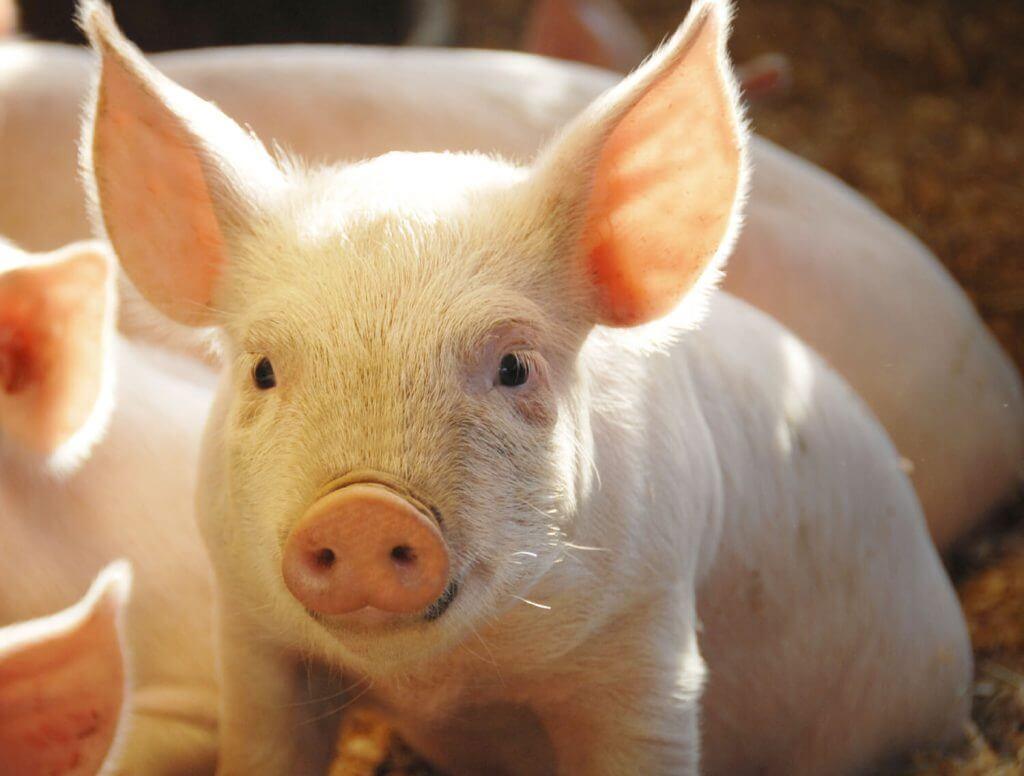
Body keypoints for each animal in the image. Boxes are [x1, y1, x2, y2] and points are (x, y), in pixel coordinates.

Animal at [83, 1, 976, 773]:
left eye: (514, 365)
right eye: (263, 369)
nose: (364, 510)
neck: (445, 684)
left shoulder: (651, 649)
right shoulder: (247, 632)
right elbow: (267, 745)